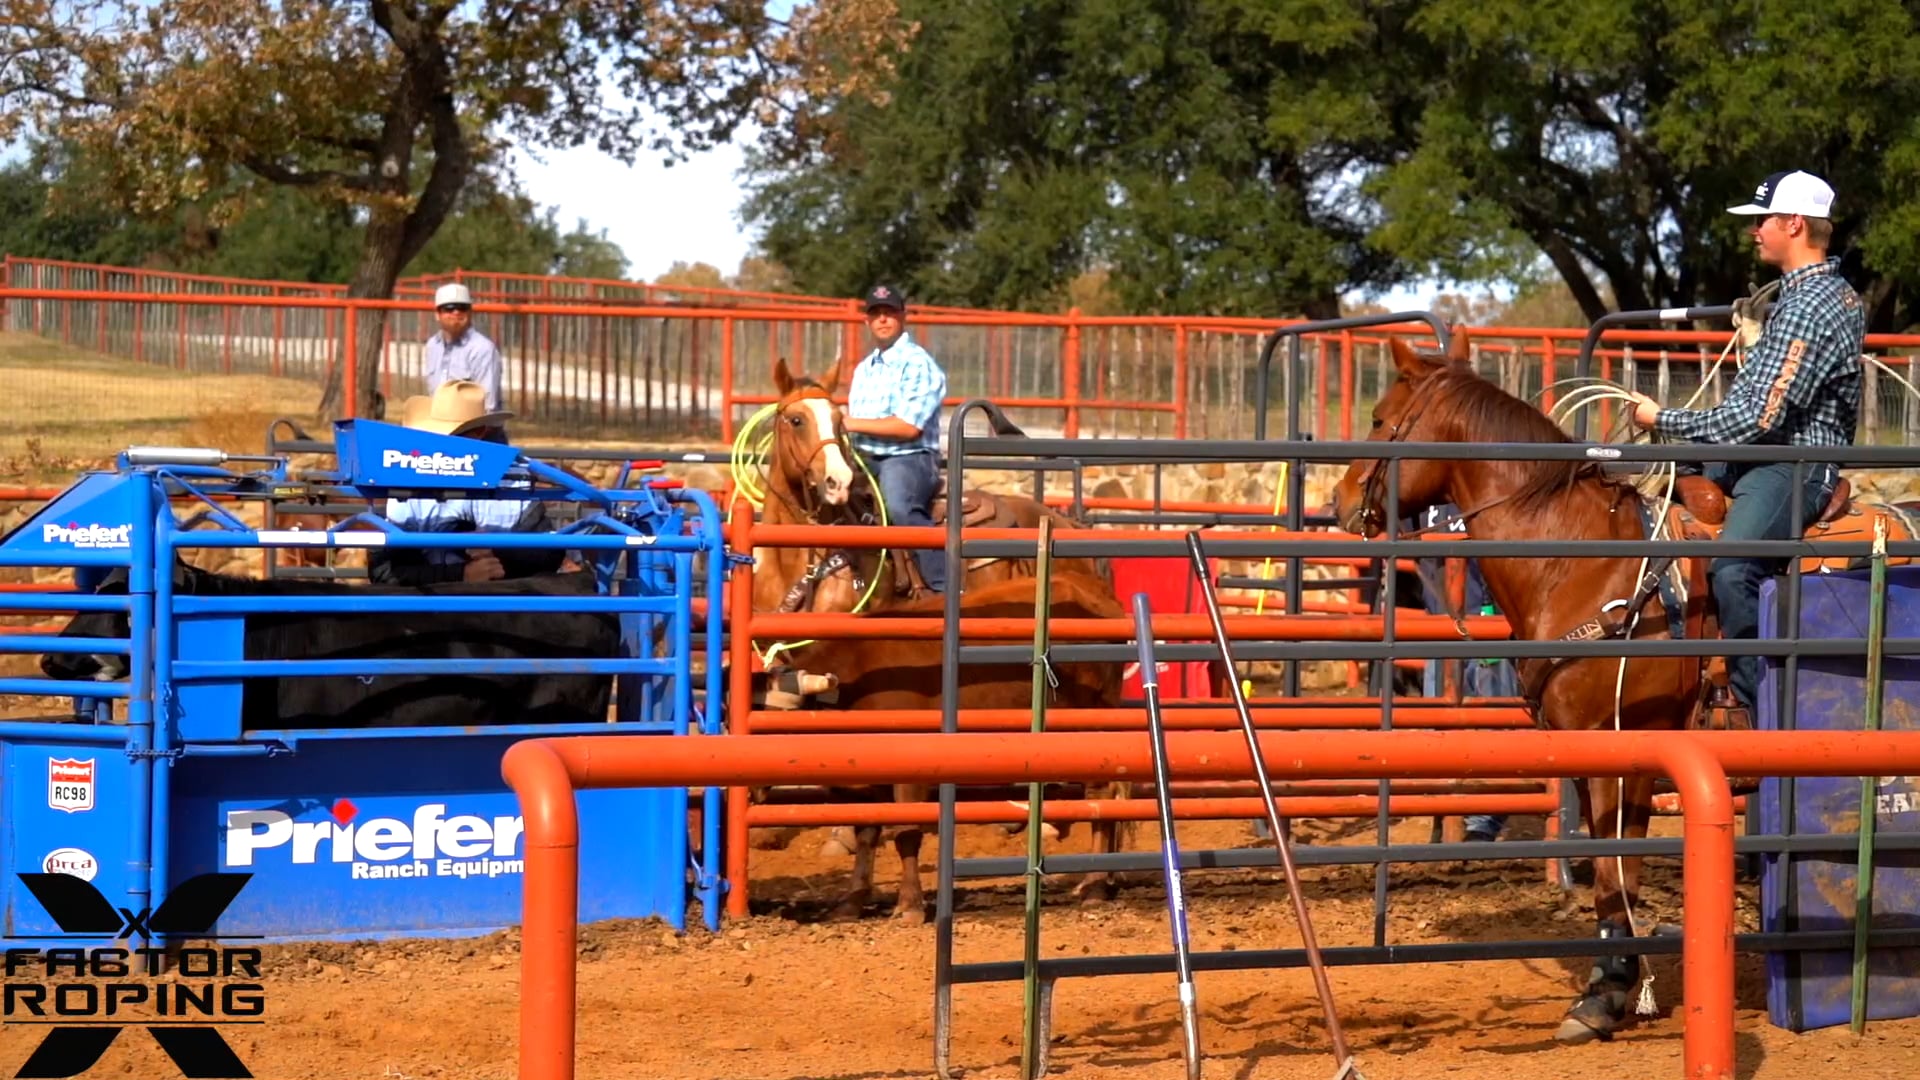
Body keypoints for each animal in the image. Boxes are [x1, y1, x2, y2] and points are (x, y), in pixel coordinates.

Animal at [760, 568, 1121, 922]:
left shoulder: (909, 775)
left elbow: (906, 834)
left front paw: (909, 905)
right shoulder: (863, 789)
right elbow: (866, 837)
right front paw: (852, 902)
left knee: (1101, 797)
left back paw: (1094, 886)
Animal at [1336, 334, 1920, 1045]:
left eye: (1379, 419)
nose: (1339, 501)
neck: (1577, 563)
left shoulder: (1625, 749)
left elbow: (1617, 870)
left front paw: (1605, 995)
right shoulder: (1597, 752)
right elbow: (1615, 867)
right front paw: (1614, 982)